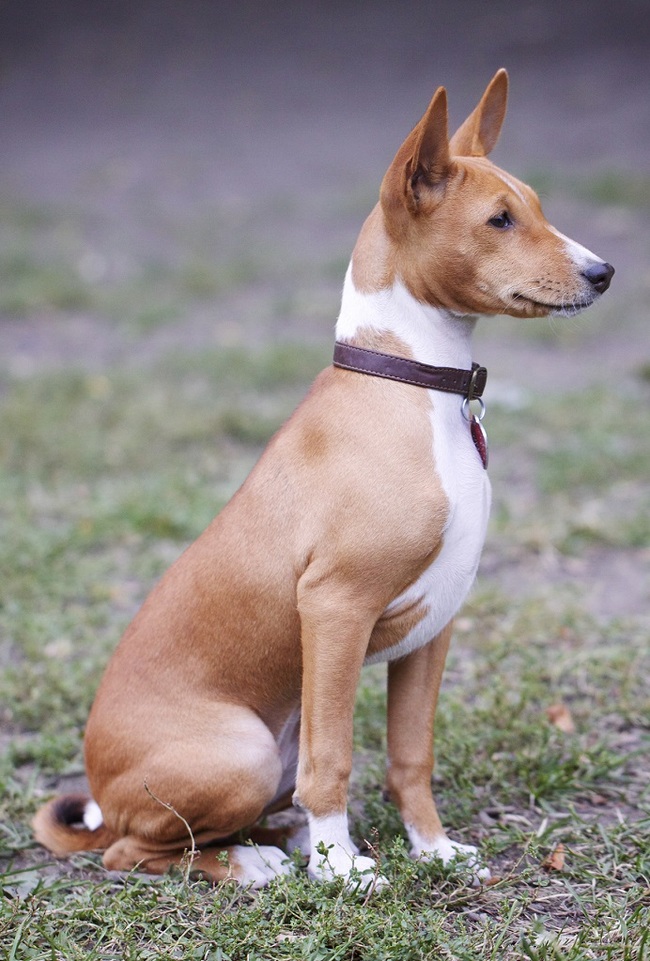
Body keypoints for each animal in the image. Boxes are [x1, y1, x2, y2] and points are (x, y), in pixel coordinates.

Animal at [33, 71, 612, 888]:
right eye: (500, 219)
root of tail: (103, 793)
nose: (605, 271)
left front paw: (432, 849)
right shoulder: (335, 609)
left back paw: (286, 838)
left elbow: (409, 756)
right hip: (240, 750)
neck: (412, 385)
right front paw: (342, 868)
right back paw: (258, 862)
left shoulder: (434, 625)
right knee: (137, 850)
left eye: (535, 205)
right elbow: (333, 758)